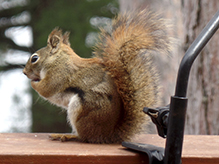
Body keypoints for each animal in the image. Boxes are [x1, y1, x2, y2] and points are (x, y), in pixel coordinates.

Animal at [23, 9, 171, 143]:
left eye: (34, 58)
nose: (24, 72)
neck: (58, 60)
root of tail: (108, 135)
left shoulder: (59, 74)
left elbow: (46, 89)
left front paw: (33, 82)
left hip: (83, 109)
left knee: (84, 137)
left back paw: (67, 136)